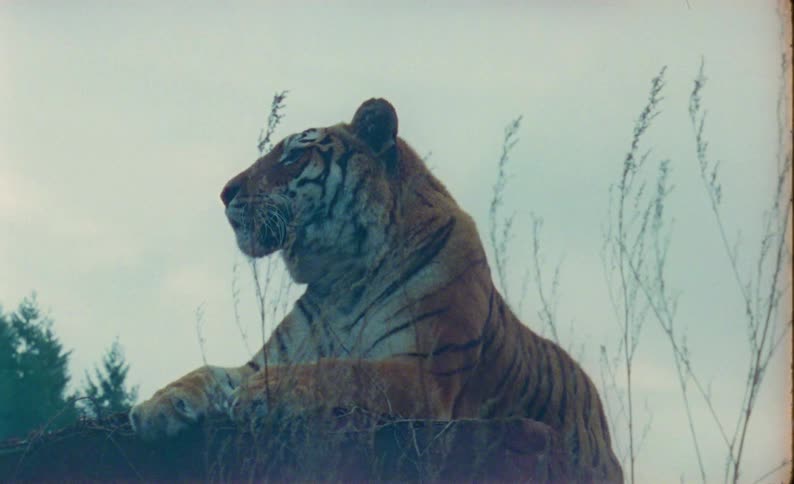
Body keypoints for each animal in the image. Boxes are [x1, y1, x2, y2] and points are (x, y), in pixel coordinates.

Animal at [129, 98, 623, 482]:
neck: (342, 277)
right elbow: (208, 371)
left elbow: (343, 370)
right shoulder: (269, 355)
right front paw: (157, 404)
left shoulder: (422, 373)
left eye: (292, 156)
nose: (225, 192)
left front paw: (261, 393)